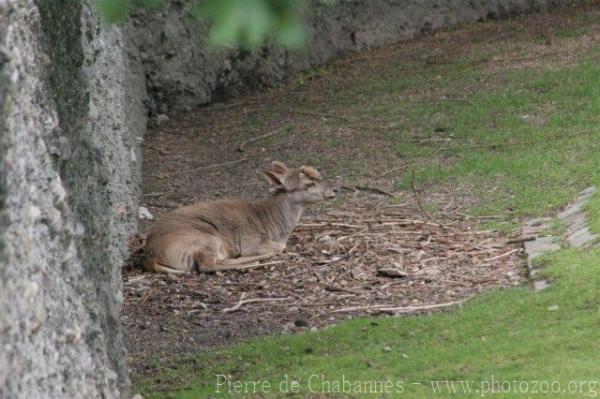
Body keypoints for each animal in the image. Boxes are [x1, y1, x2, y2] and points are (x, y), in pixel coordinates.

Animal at [144, 161, 336, 274]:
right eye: (309, 184)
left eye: (319, 176)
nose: (334, 190)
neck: (277, 228)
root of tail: (152, 256)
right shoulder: (251, 240)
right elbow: (278, 247)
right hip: (205, 237)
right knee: (207, 264)